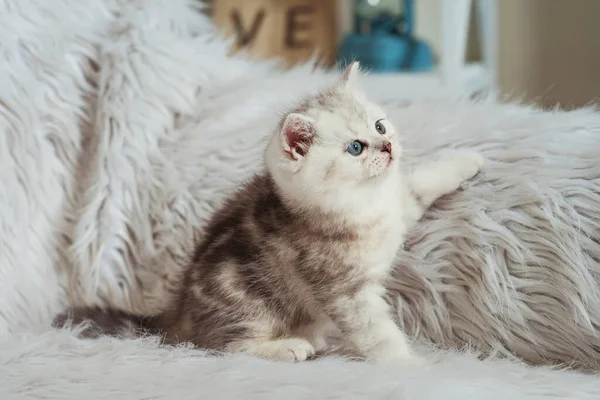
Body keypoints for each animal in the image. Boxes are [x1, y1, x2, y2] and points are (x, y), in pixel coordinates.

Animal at [56, 61, 486, 362]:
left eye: (380, 127)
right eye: (356, 148)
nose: (389, 147)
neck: (363, 204)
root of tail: (177, 311)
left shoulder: (399, 202)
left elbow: (420, 183)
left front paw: (468, 160)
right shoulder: (344, 291)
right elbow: (378, 334)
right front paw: (411, 368)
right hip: (247, 301)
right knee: (221, 346)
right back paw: (289, 346)